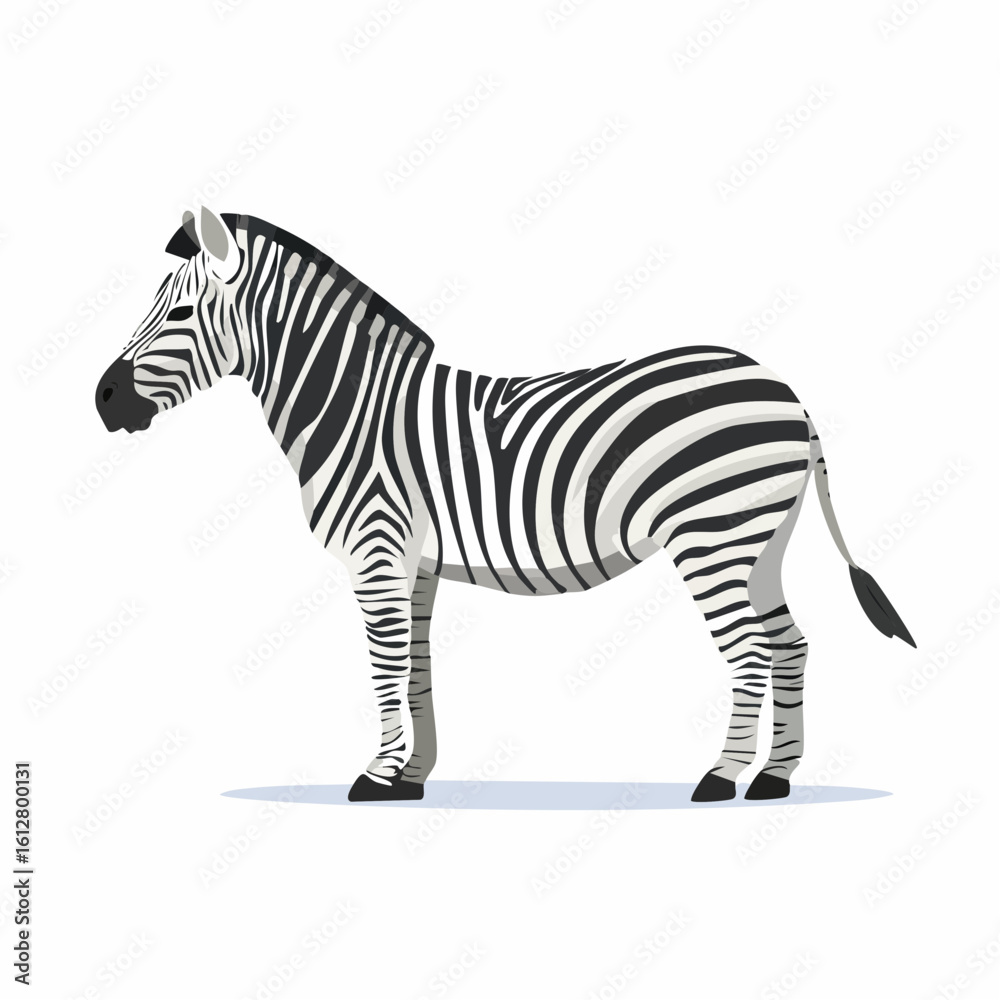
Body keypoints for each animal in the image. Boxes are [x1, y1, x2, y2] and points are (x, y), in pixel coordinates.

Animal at [95, 207, 915, 804]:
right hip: (757, 543)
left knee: (750, 651)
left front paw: (374, 777)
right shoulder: (417, 561)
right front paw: (412, 777)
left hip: (712, 538)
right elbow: (417, 665)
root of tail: (787, 392)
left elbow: (385, 662)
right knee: (791, 643)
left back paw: (719, 779)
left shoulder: (377, 547)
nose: (102, 400)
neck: (352, 406)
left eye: (180, 314)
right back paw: (775, 778)